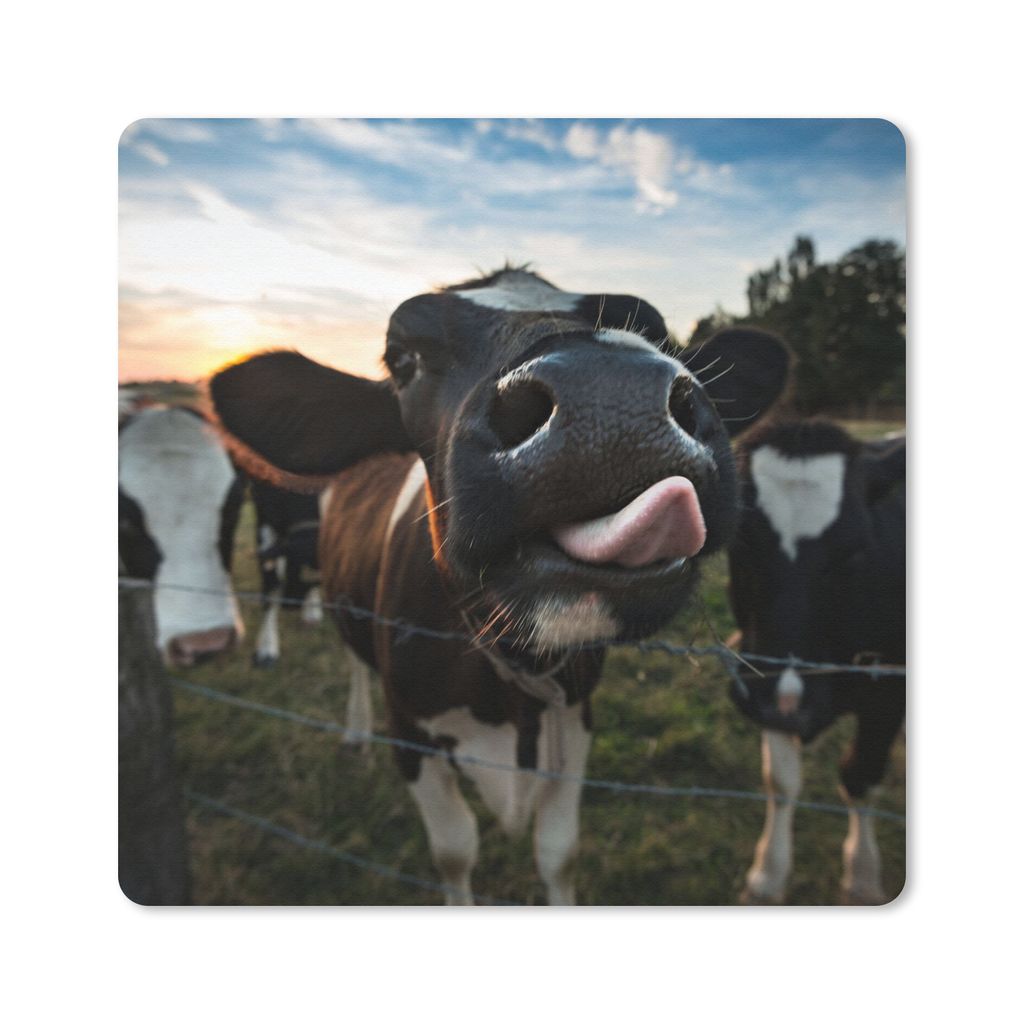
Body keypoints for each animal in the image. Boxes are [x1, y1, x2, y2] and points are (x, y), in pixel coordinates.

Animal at [726, 418, 906, 904]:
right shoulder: (765, 686)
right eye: (740, 546)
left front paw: (862, 876)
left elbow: (860, 775)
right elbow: (781, 782)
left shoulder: (889, 691)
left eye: (855, 551)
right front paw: (768, 874)